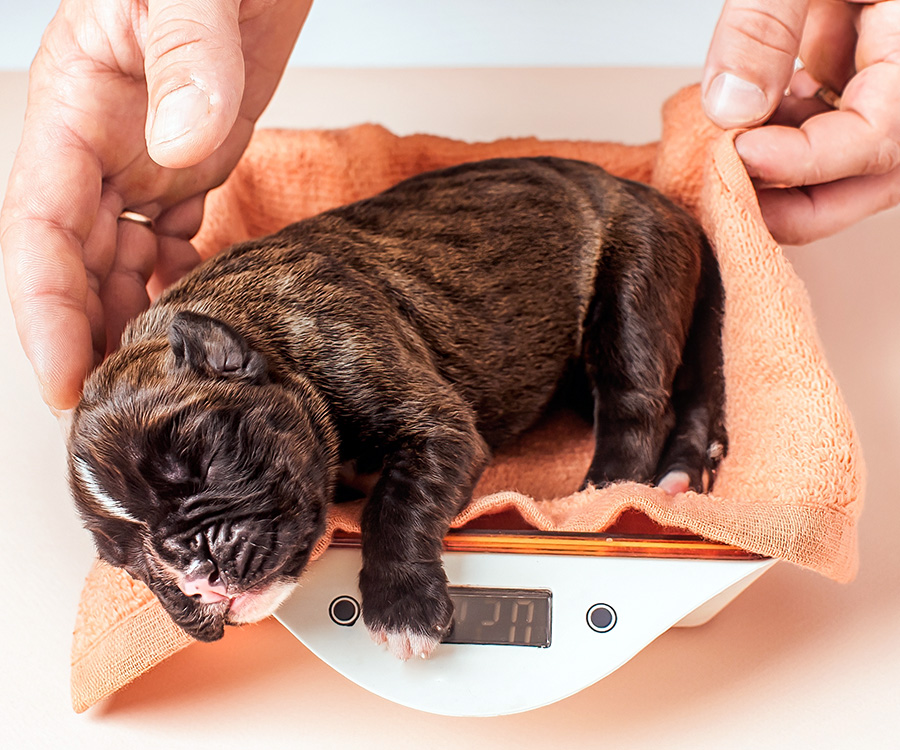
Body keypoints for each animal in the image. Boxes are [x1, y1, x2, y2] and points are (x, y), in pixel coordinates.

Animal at [67, 156, 728, 660]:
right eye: (125, 559)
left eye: (203, 462)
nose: (192, 572)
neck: (258, 327)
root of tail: (659, 201)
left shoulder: (433, 425)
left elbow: (395, 504)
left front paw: (401, 607)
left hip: (633, 283)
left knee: (638, 407)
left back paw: (605, 491)